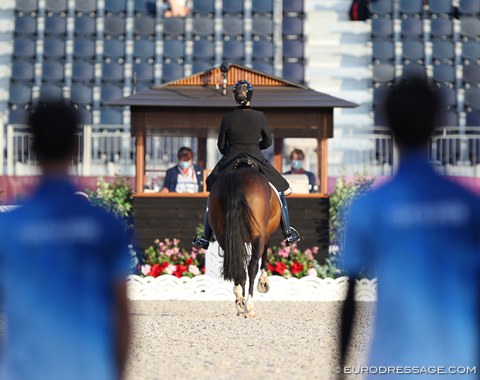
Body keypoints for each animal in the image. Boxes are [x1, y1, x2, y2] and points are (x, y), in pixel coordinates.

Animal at [209, 166, 282, 318]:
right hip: (257, 235)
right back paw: (249, 306)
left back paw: (240, 302)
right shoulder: (265, 234)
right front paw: (263, 282)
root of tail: (237, 175)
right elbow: (264, 254)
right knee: (252, 266)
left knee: (239, 268)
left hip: (224, 237)